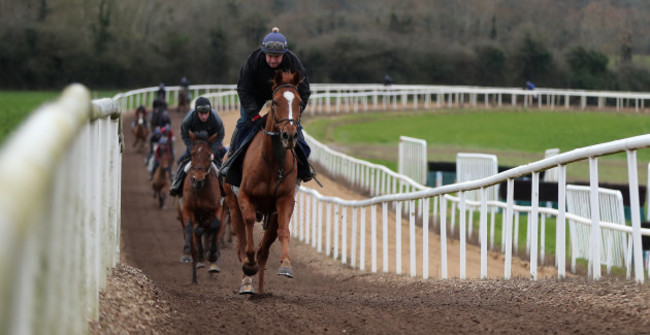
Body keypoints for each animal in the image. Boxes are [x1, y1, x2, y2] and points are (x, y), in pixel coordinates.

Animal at [175, 131, 225, 284]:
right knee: (195, 231)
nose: (198, 178)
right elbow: (192, 229)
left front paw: (213, 255)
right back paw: (195, 257)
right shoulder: (189, 209)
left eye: (209, 154)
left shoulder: (217, 208)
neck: (201, 189)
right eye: (192, 153)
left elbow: (215, 226)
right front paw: (193, 255)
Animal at [221, 70, 302, 294]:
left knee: (264, 250)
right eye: (275, 101)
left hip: (270, 215)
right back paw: (247, 281)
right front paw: (249, 266)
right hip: (232, 203)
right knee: (241, 240)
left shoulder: (284, 200)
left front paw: (286, 265)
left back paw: (261, 288)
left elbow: (284, 230)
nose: (289, 135)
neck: (273, 163)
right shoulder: (244, 196)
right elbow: (248, 225)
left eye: (300, 102)